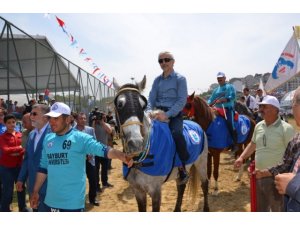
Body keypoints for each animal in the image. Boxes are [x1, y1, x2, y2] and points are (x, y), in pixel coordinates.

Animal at [112, 76, 209, 212]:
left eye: (143, 106)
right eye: (119, 104)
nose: (136, 143)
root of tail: (196, 124)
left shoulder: (156, 191)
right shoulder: (137, 191)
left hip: (201, 163)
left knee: (205, 184)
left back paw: (206, 208)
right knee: (181, 187)